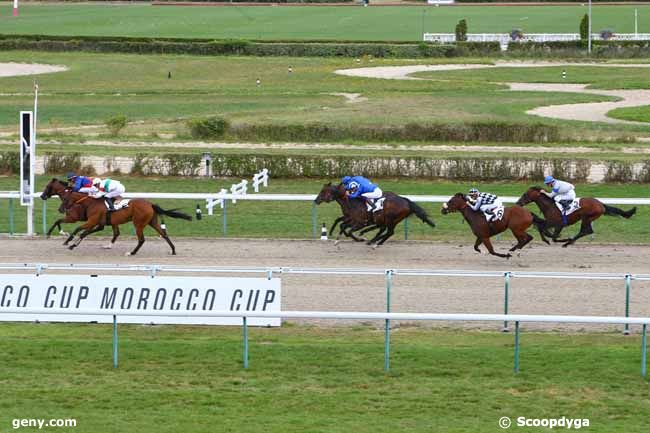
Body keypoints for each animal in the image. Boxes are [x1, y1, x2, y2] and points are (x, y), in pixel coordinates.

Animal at [59, 188, 191, 255]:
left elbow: (79, 229)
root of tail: (150, 204)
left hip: (138, 223)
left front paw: (68, 241)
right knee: (164, 234)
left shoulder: (92, 221)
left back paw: (132, 252)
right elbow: (84, 233)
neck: (92, 203)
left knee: (142, 239)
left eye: (65, 199)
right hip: (152, 222)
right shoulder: (99, 224)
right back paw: (173, 250)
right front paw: (73, 244)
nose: (60, 209)